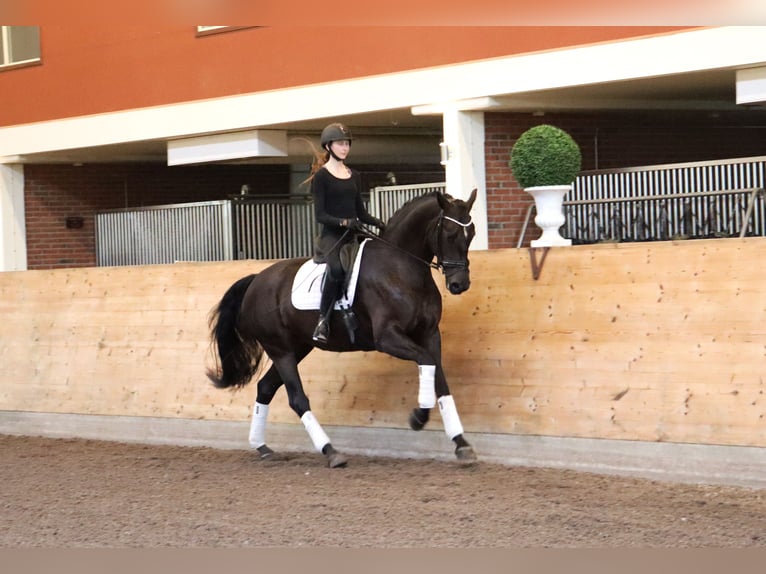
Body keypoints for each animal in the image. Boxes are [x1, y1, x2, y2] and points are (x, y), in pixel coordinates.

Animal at [207, 189, 476, 468]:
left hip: (297, 348)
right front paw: (418, 417)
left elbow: (440, 380)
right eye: (450, 233)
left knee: (265, 387)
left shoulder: (430, 334)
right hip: (280, 350)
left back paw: (262, 446)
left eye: (472, 234)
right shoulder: (387, 338)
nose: (459, 284)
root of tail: (256, 280)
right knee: (297, 398)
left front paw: (461, 444)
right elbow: (426, 362)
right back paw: (331, 451)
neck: (401, 267)